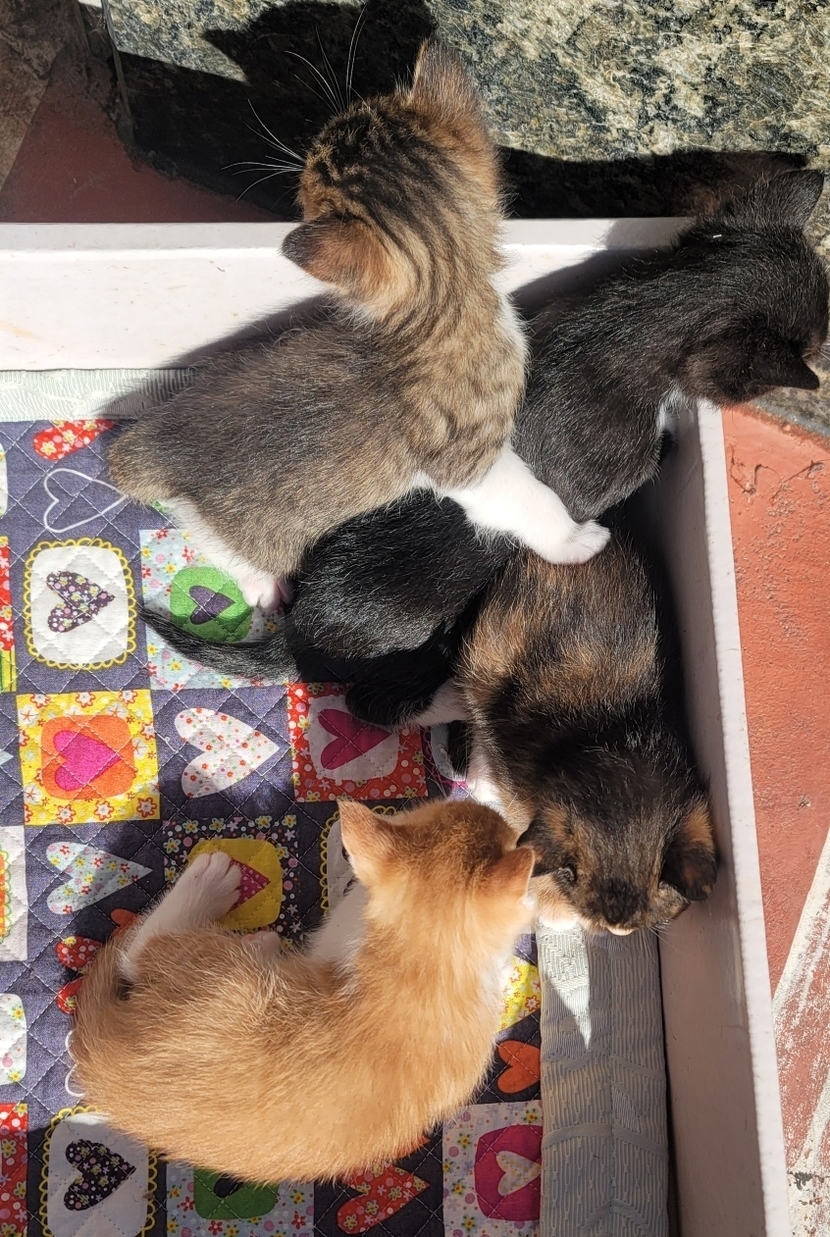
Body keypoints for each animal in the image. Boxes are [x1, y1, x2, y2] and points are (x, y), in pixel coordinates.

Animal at [108, 39, 607, 613]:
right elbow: (533, 500)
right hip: (249, 533)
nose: (299, 160)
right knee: (213, 539)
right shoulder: (473, 463)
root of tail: (149, 449)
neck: (443, 302)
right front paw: (575, 540)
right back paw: (261, 584)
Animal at [434, 534, 718, 935]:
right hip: (483, 662)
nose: (618, 930)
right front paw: (554, 905)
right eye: (571, 874)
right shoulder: (515, 776)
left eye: (660, 887)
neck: (610, 733)